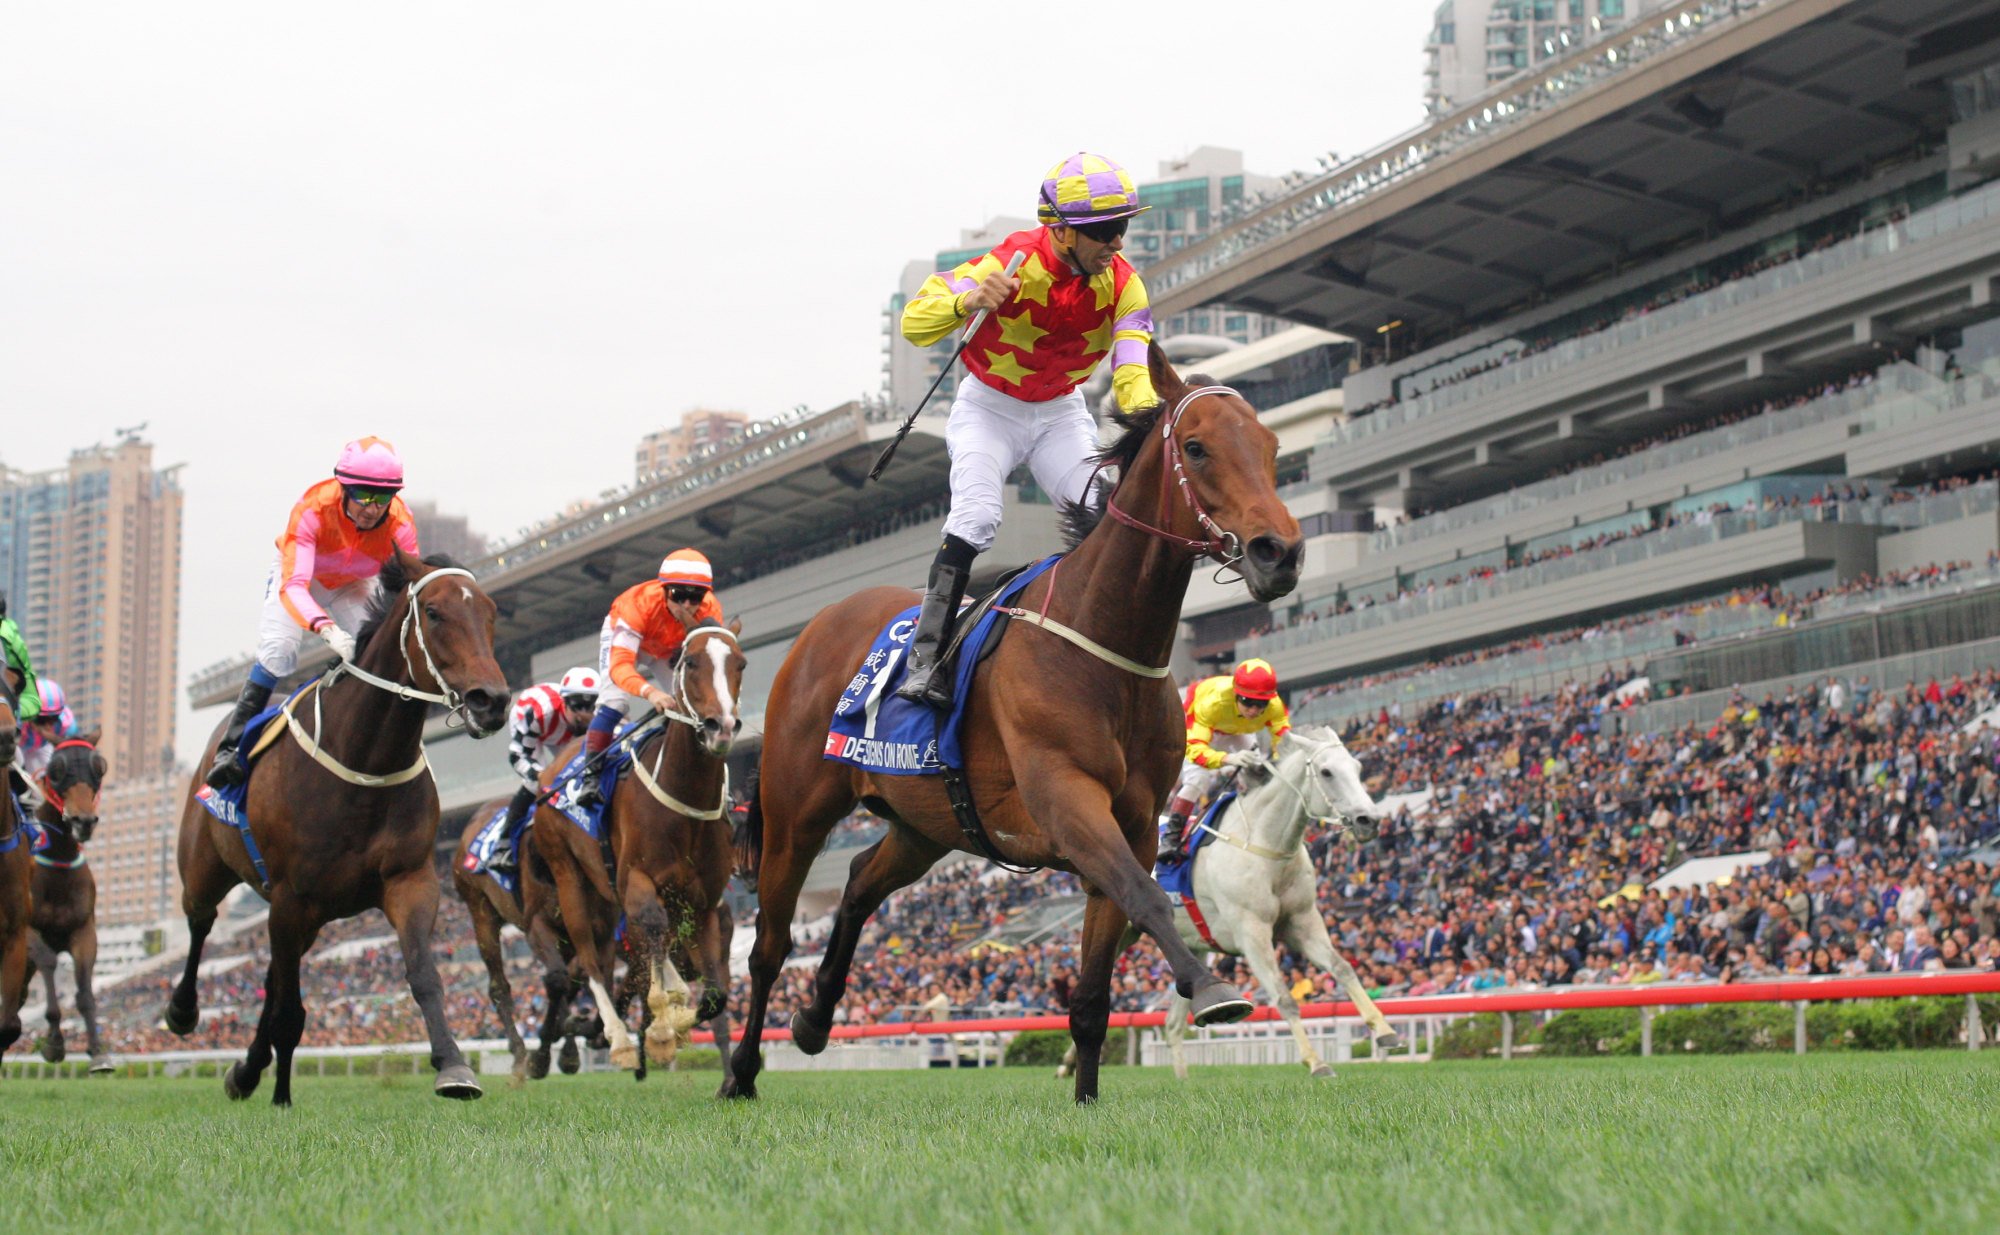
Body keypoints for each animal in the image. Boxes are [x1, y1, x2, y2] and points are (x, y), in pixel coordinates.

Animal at [169, 551, 512, 1103]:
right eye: (434, 613)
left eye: (490, 613)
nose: (492, 700)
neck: (366, 760)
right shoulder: (291, 895)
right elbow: (290, 1011)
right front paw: (281, 1095)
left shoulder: (410, 880)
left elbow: (423, 973)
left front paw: (455, 1066)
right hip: (208, 869)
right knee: (201, 923)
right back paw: (184, 1012)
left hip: (304, 916)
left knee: (273, 972)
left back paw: (247, 1070)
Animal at [528, 619, 748, 1071]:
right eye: (690, 662)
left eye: (741, 663)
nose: (721, 726)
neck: (684, 797)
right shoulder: (638, 881)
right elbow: (650, 930)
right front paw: (661, 1030)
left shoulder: (703, 903)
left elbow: (715, 996)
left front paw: (674, 1022)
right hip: (569, 877)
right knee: (590, 959)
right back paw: (618, 1039)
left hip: (606, 893)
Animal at [728, 343, 1304, 1095]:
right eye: (1197, 447)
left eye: (1270, 446)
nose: (1280, 552)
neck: (1102, 639)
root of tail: (816, 626)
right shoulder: (1066, 800)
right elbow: (1147, 896)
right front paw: (1210, 987)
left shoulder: (1133, 823)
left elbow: (1093, 992)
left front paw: (1087, 1098)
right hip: (796, 814)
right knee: (768, 945)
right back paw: (740, 1071)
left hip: (924, 822)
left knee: (856, 882)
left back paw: (815, 1017)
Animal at [1056, 719, 1400, 1079]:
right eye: (1327, 771)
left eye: (1358, 768)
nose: (1369, 820)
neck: (1266, 845)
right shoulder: (1252, 933)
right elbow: (1284, 999)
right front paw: (1316, 1062)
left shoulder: (1303, 923)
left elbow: (1343, 968)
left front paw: (1385, 1031)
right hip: (1123, 931)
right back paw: (1068, 1063)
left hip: (1191, 946)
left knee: (1173, 1022)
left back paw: (1179, 1079)